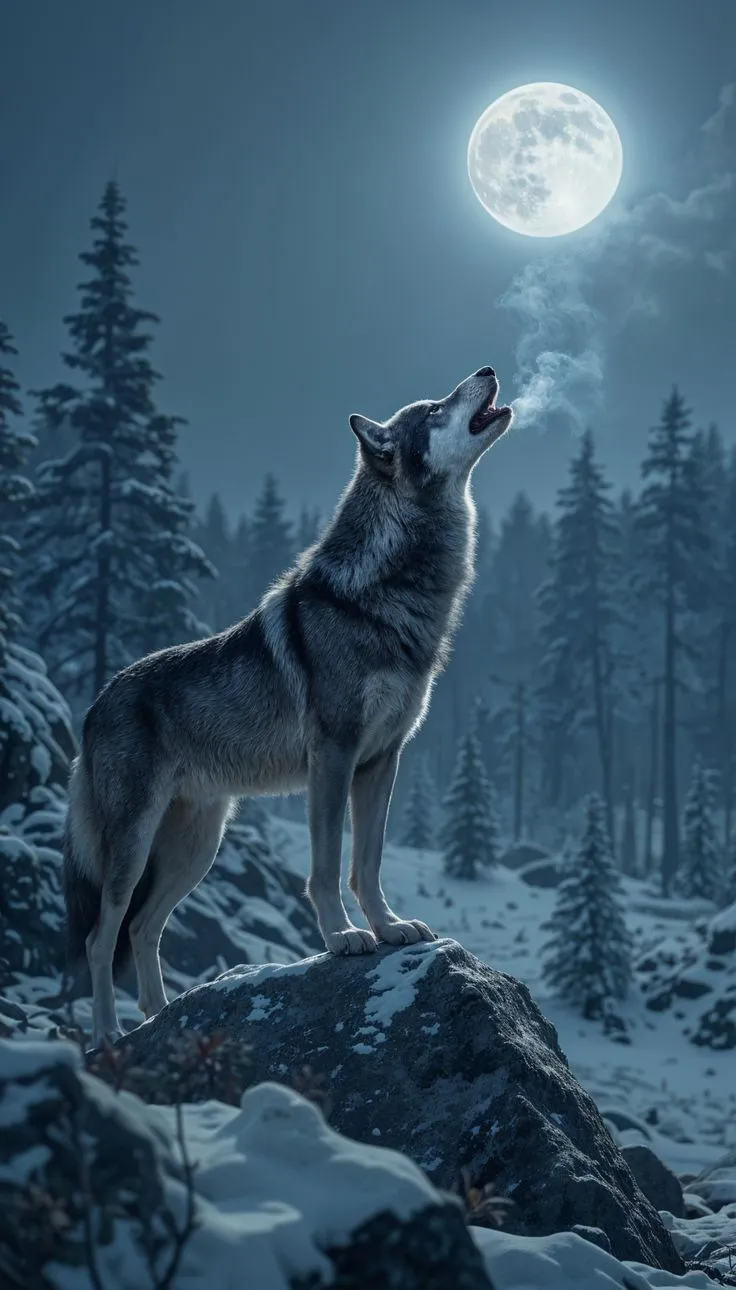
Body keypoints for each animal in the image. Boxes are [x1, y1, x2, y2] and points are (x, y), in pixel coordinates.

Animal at [63, 366, 512, 1044]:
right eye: (435, 408)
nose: (486, 370)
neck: (388, 594)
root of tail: (93, 705)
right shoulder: (333, 756)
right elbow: (326, 867)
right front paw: (342, 937)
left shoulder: (382, 761)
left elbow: (367, 862)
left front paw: (388, 928)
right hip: (134, 847)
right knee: (100, 936)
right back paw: (109, 1036)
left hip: (198, 848)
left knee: (143, 929)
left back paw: (163, 1018)